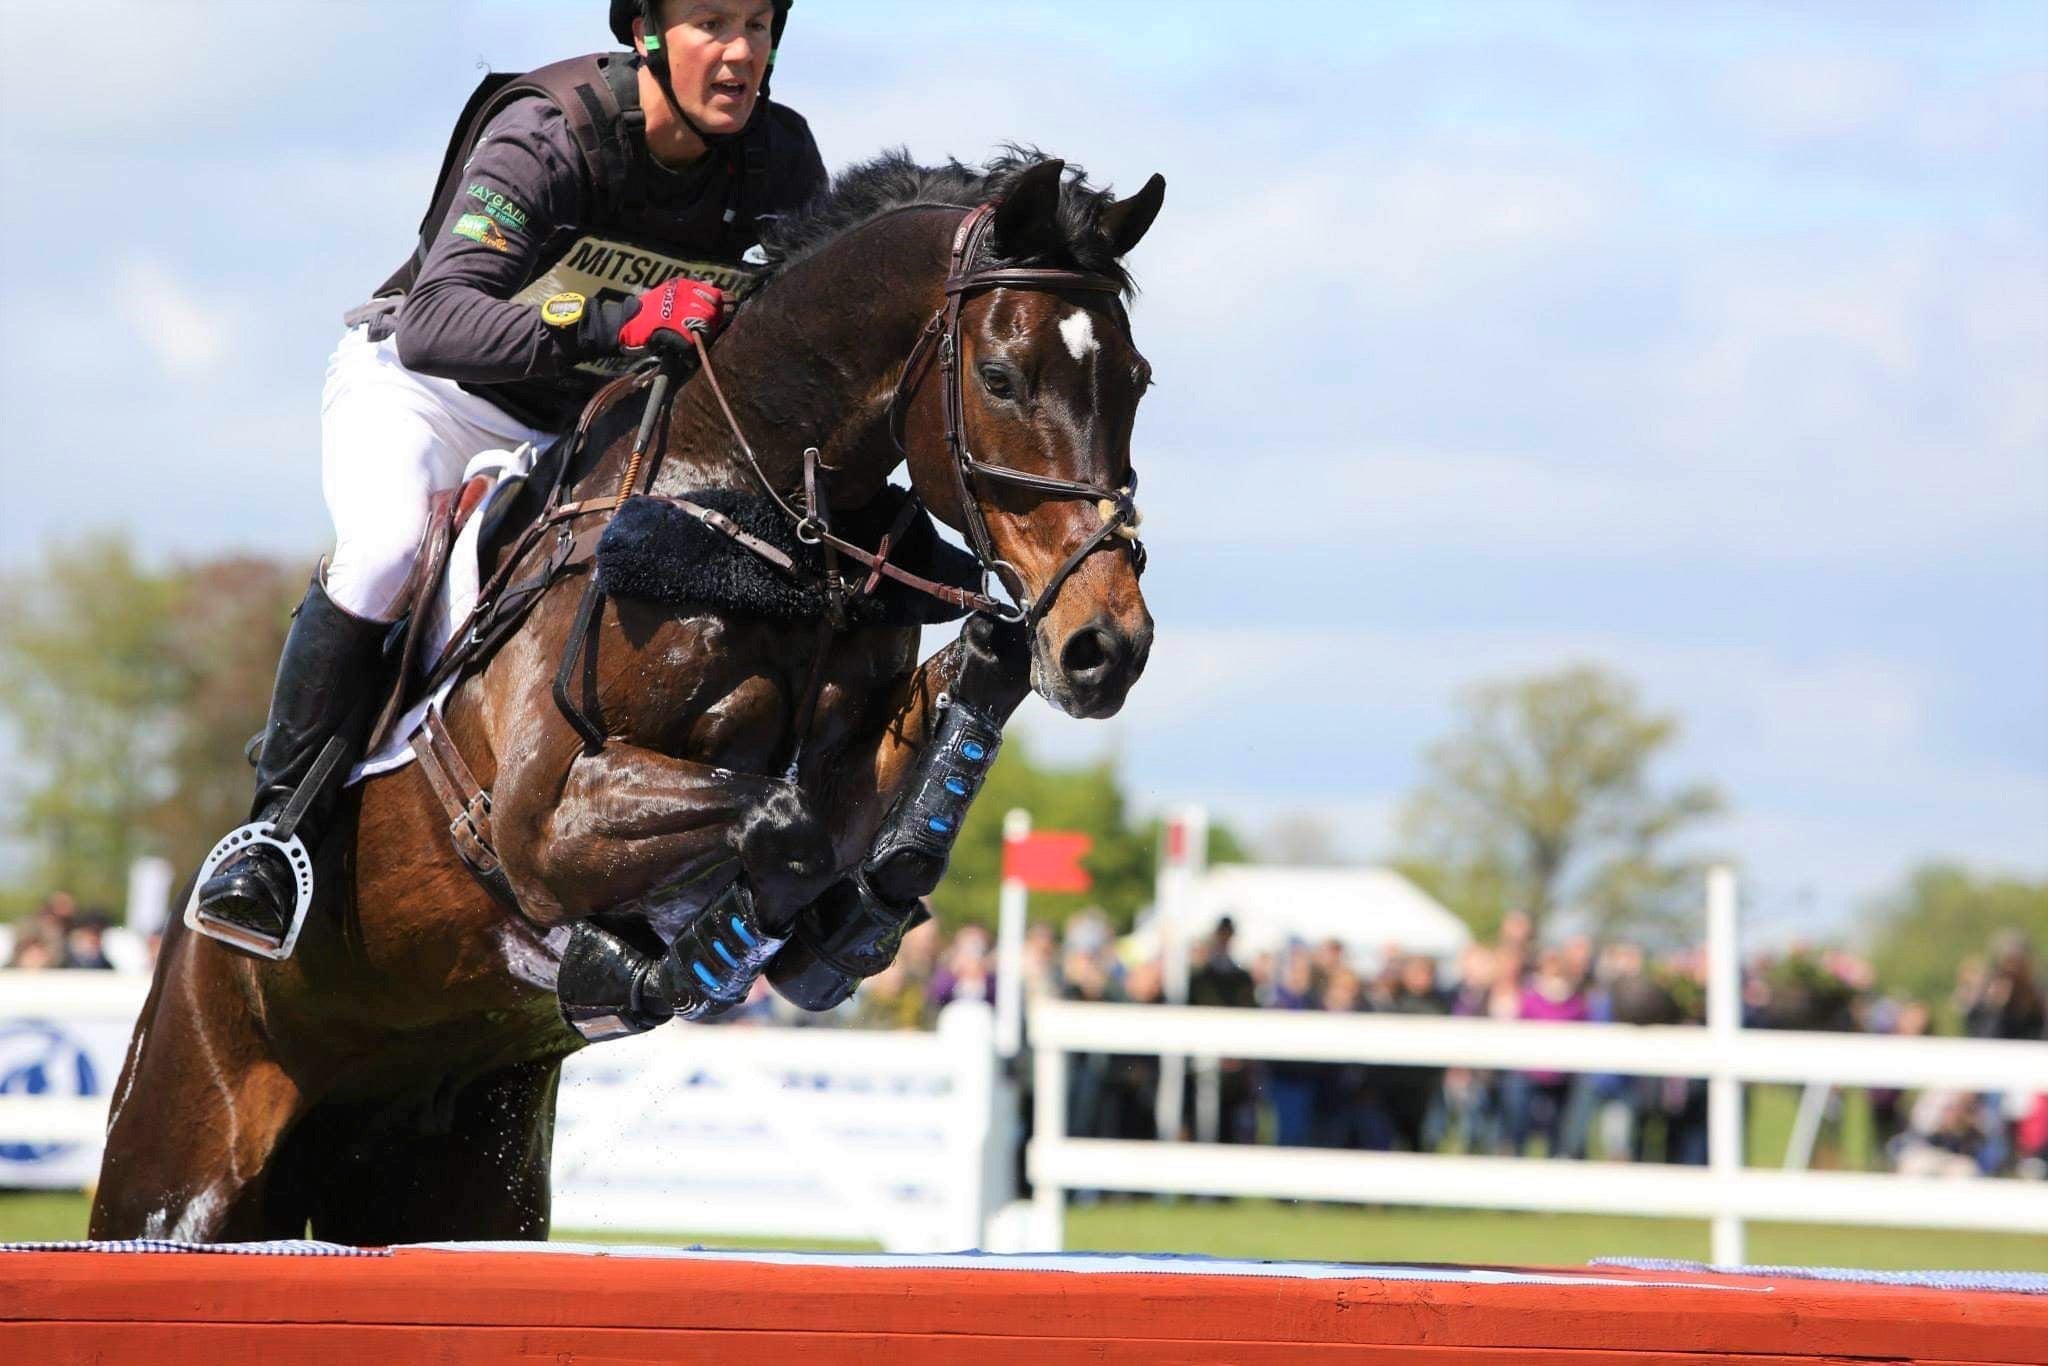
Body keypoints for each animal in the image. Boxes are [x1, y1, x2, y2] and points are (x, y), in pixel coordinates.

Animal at [89, 151, 1164, 1244]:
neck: (748, 510)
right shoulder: (542, 819)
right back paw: (252, 880)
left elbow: (898, 756)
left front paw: (838, 930)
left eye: (1137, 380)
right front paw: (681, 963)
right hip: (181, 1180)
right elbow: (782, 827)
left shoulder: (844, 749)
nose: (1106, 646)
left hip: (461, 1189)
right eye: (1000, 377)